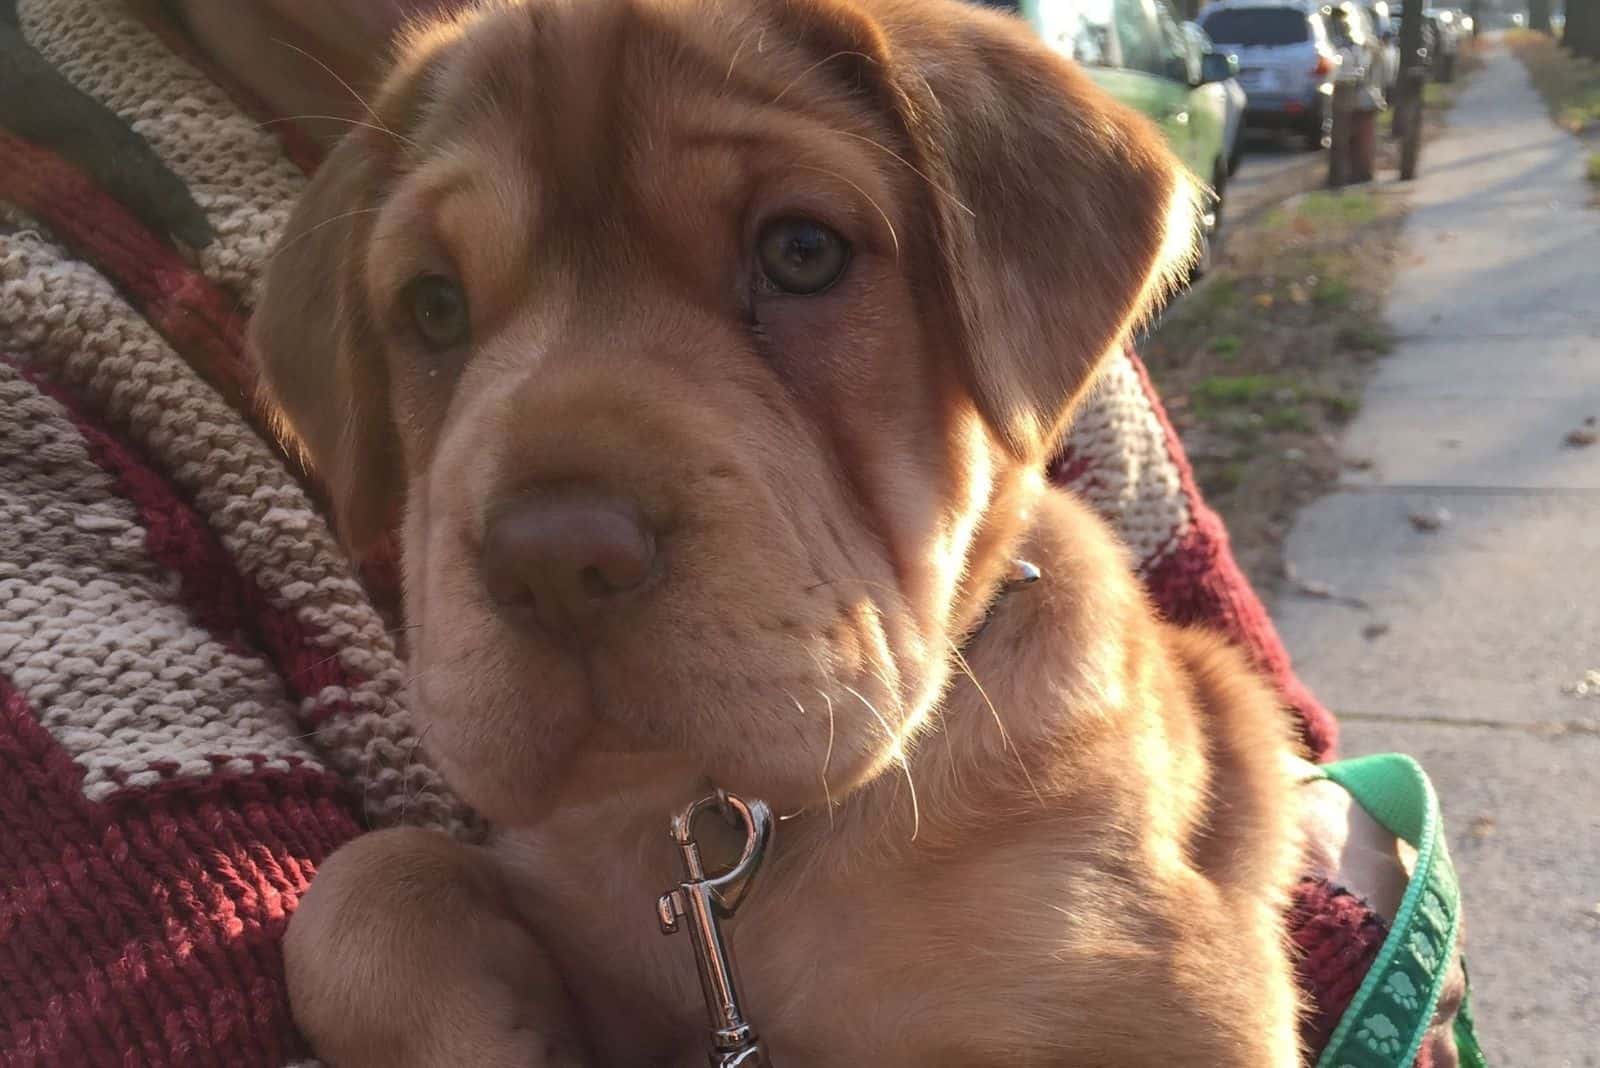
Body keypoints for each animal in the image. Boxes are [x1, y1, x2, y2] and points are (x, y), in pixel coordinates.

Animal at [246, 4, 1299, 1061]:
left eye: (801, 252)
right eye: (433, 307)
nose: (552, 563)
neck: (703, 828)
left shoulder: (1180, 999)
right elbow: (358, 896)